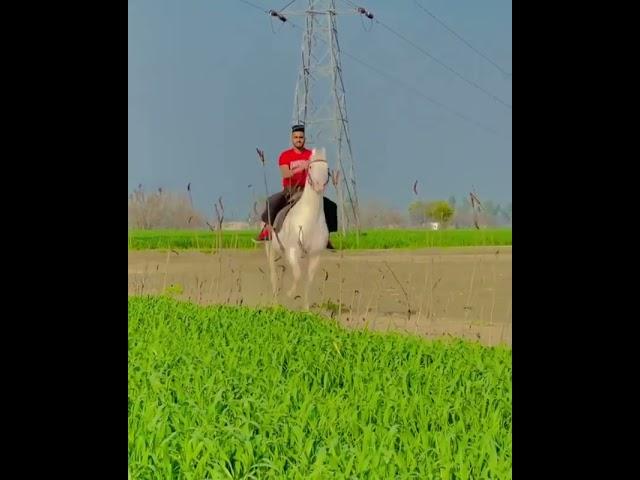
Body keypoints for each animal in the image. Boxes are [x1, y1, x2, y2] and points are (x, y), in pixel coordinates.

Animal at [264, 148, 330, 310]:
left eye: (327, 169)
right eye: (310, 167)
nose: (319, 186)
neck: (310, 217)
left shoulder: (315, 255)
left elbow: (308, 280)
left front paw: (306, 309)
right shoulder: (293, 251)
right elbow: (298, 275)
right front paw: (290, 294)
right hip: (270, 249)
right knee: (274, 275)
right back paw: (276, 303)